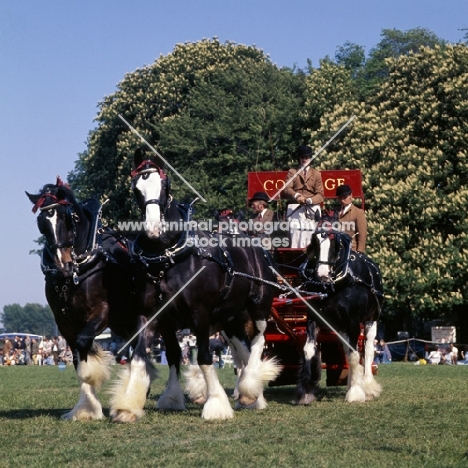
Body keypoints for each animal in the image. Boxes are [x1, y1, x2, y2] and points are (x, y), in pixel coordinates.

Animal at [26, 179, 141, 420]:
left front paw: (92, 382)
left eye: (70, 218)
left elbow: (83, 343)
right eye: (41, 223)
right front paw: (86, 407)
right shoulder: (63, 321)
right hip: (124, 322)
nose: (63, 265)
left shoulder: (102, 312)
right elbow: (77, 356)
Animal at [108, 150, 280, 420]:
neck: (168, 258)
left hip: (259, 306)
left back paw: (250, 388)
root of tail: (256, 248)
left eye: (164, 186)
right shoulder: (155, 316)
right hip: (231, 317)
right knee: (242, 351)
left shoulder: (200, 314)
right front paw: (135, 403)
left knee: (258, 341)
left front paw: (216, 405)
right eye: (136, 188)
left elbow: (205, 357)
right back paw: (252, 395)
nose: (153, 228)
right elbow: (157, 355)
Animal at [296, 214, 384, 404]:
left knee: (367, 350)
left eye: (334, 241)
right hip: (340, 326)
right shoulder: (314, 318)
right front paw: (305, 392)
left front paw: (356, 393)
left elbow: (355, 355)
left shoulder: (353, 322)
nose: (322, 274)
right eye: (315, 240)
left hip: (371, 319)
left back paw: (367, 385)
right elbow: (308, 350)